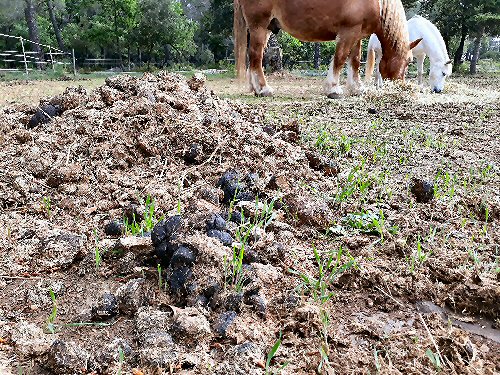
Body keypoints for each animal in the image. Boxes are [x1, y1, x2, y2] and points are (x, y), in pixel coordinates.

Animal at [234, 0, 422, 98]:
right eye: (409, 61)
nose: (399, 84)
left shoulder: (357, 34)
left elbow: (354, 61)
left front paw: (357, 88)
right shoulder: (348, 32)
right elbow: (340, 58)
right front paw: (333, 89)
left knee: (252, 58)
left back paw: (254, 88)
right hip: (260, 27)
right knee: (256, 57)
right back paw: (263, 89)